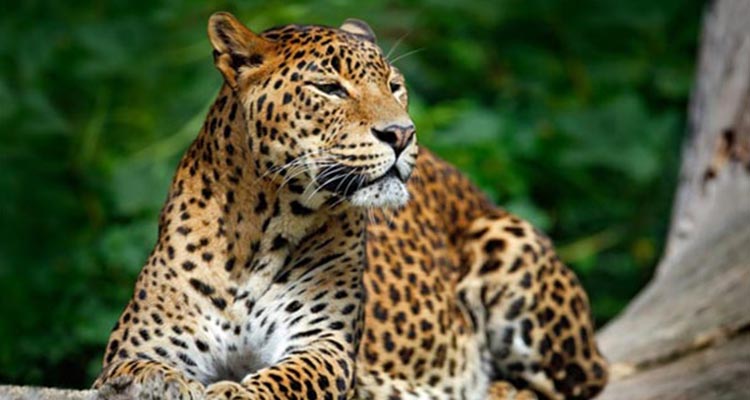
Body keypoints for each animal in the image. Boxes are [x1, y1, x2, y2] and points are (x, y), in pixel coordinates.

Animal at [93, 12, 608, 400]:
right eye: (329, 88)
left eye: (395, 85)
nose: (402, 134)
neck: (259, 229)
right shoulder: (136, 346)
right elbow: (136, 370)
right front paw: (159, 384)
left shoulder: (325, 344)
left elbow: (286, 378)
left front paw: (233, 391)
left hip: (510, 242)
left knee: (577, 384)